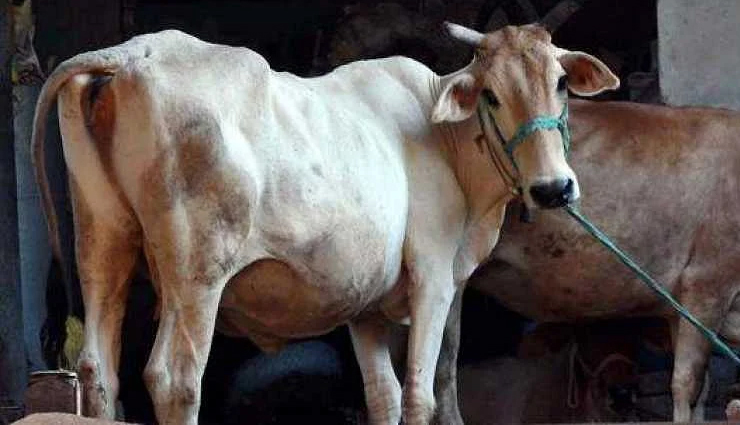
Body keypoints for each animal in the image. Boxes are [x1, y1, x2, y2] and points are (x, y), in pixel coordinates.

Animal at [31, 24, 617, 424]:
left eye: (561, 83)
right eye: (492, 94)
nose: (554, 188)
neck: (443, 138)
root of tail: (135, 53)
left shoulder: (366, 304)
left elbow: (383, 396)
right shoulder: (433, 276)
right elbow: (422, 394)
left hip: (103, 241)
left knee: (98, 372)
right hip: (197, 271)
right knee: (175, 379)